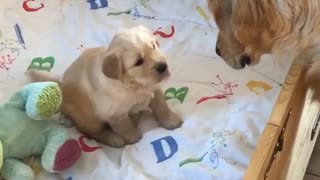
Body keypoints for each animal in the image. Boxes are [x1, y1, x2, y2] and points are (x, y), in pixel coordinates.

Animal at [26, 26, 182, 147]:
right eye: (138, 61)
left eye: (153, 46)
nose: (163, 66)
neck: (134, 84)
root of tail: (61, 83)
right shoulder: (114, 113)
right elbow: (123, 126)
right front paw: (132, 136)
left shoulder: (155, 91)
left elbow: (162, 107)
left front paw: (171, 121)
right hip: (89, 120)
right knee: (91, 132)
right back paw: (113, 138)